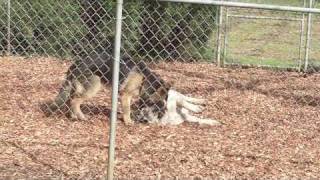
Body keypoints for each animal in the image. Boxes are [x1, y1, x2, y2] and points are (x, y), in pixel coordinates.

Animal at [44, 50, 172, 124]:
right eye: (159, 104)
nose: (163, 114)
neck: (144, 79)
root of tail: (75, 64)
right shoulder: (125, 95)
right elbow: (127, 110)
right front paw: (128, 121)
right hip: (95, 85)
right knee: (75, 101)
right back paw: (82, 117)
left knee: (70, 100)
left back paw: (73, 116)